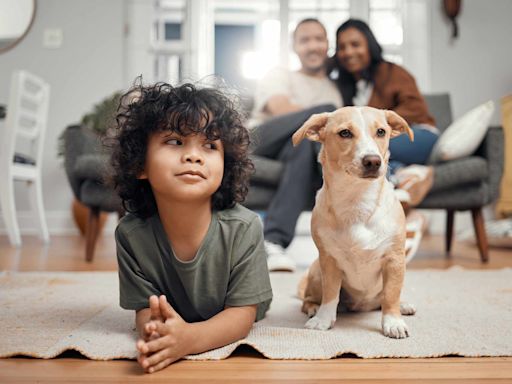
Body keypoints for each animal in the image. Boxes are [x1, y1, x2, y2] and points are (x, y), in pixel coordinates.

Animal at [294, 106, 418, 338]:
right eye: (345, 133)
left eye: (381, 131)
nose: (373, 161)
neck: (357, 201)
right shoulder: (329, 261)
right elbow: (330, 294)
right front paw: (323, 319)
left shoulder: (395, 260)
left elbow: (391, 295)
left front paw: (393, 321)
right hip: (315, 272)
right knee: (308, 299)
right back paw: (314, 308)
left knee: (386, 298)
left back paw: (403, 305)